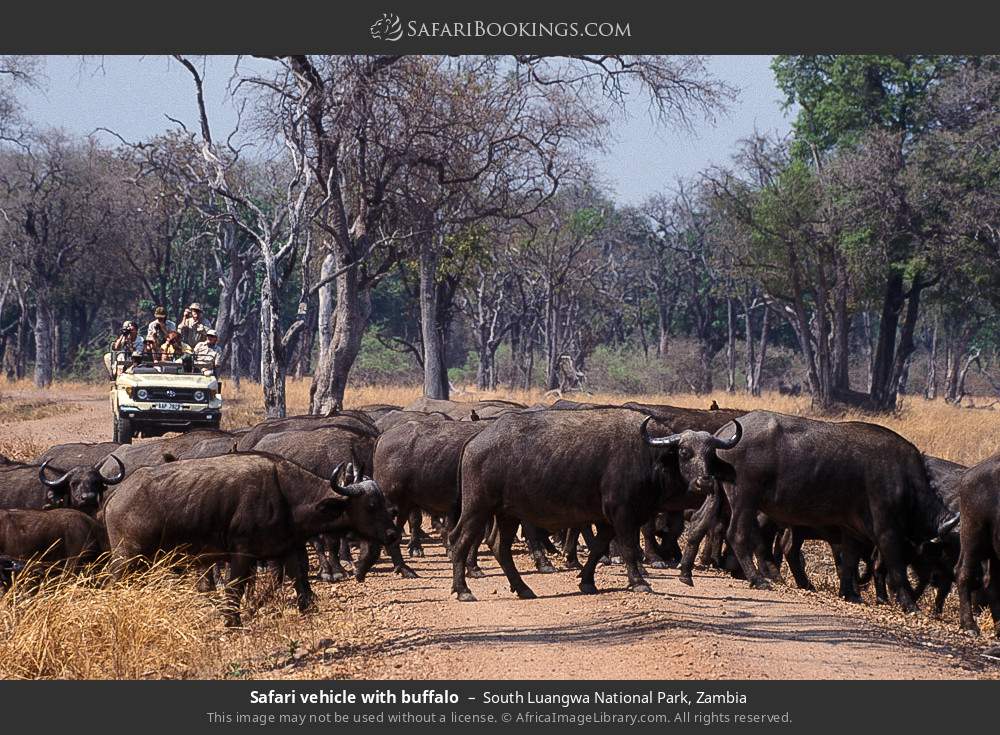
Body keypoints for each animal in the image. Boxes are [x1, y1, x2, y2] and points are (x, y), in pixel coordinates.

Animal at [103, 454, 396, 628]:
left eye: (382, 501)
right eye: (371, 505)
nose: (393, 533)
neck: (286, 496)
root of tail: (117, 494)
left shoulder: (287, 547)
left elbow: (298, 578)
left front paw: (306, 606)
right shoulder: (242, 555)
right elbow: (236, 587)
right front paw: (232, 619)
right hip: (128, 558)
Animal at [648, 412, 960, 612]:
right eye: (951, 548)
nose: (951, 576)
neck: (906, 480)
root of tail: (724, 434)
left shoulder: (851, 531)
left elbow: (848, 561)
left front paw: (851, 594)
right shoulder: (886, 530)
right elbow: (895, 566)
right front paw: (909, 603)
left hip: (718, 495)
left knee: (700, 525)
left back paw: (686, 572)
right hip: (744, 499)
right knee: (737, 534)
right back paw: (757, 578)